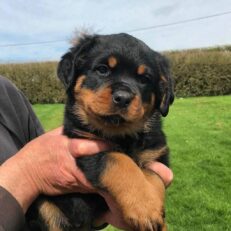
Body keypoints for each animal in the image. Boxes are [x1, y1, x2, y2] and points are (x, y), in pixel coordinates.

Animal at [26, 33, 173, 231]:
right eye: (102, 70)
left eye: (144, 79)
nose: (123, 98)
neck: (121, 135)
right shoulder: (85, 147)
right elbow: (118, 160)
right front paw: (145, 208)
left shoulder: (156, 155)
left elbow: (154, 177)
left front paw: (154, 214)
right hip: (42, 206)